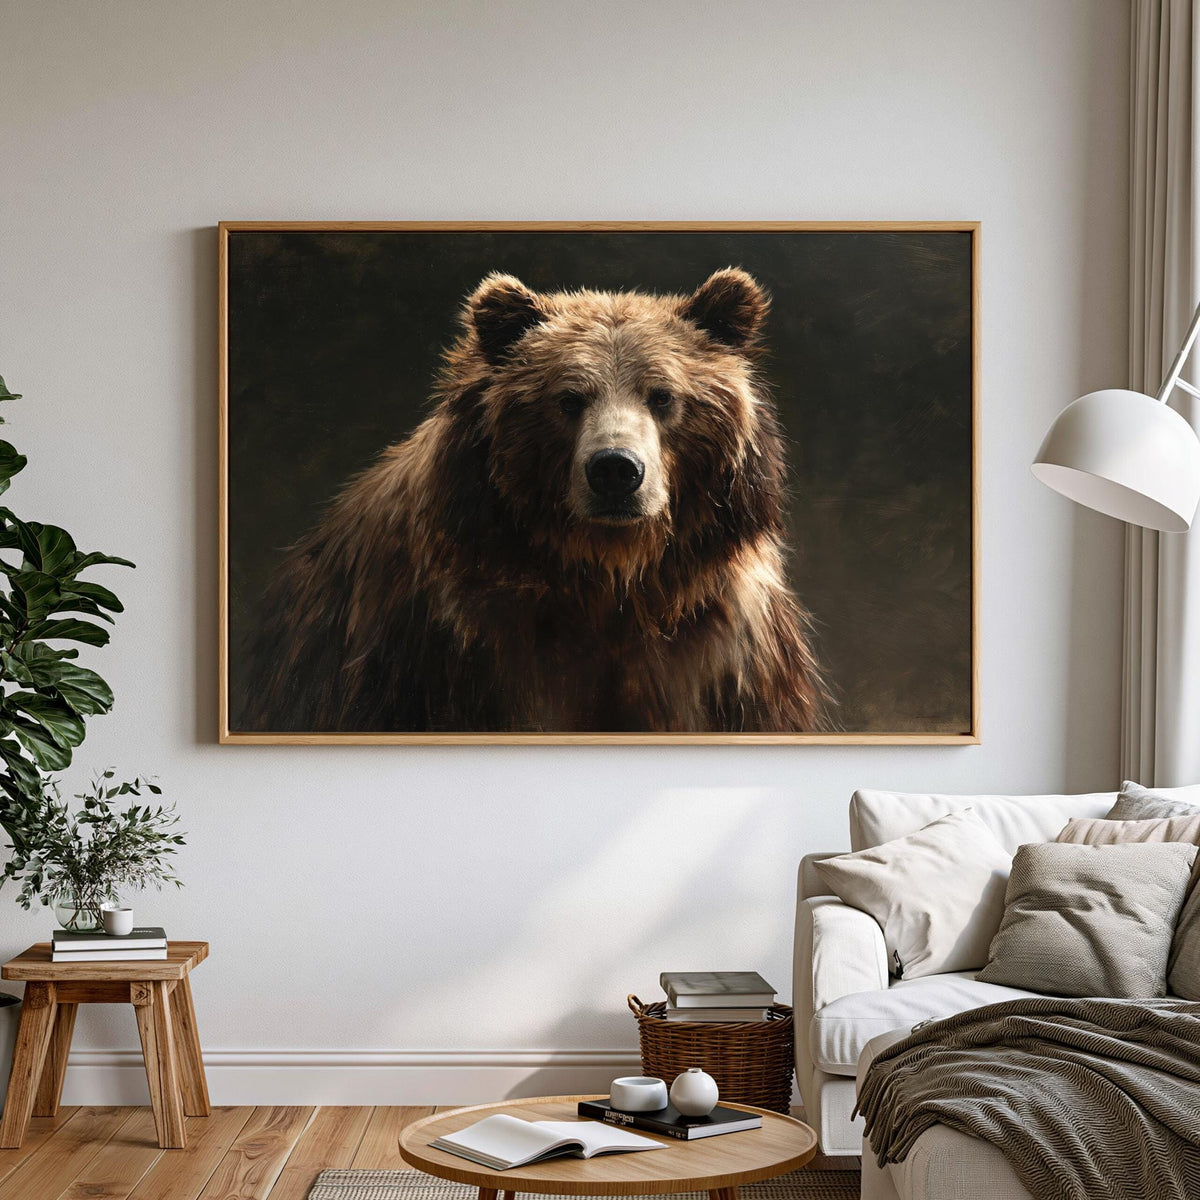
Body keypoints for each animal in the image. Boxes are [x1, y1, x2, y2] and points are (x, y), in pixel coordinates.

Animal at [239, 267, 828, 734]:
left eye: (662, 395)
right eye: (568, 398)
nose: (616, 470)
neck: (606, 579)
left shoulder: (720, 656)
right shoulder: (454, 651)